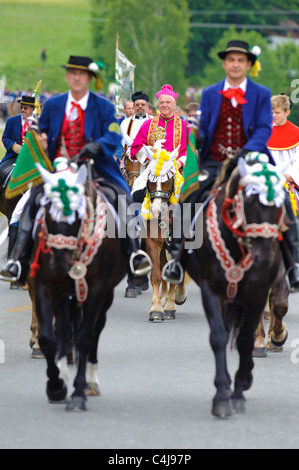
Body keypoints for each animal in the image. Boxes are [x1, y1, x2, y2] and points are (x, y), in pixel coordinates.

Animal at [30, 159, 127, 412]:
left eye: (77, 216)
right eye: (48, 214)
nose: (60, 265)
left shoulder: (98, 288)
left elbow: (85, 337)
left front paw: (78, 392)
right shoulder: (45, 285)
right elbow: (48, 338)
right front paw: (56, 386)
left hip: (105, 294)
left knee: (95, 328)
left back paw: (90, 381)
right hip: (65, 295)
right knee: (64, 329)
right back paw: (64, 372)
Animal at [135, 142, 189, 320]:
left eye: (168, 179)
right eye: (150, 180)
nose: (157, 209)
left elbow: (175, 273)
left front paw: (172, 305)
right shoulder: (152, 242)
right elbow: (157, 276)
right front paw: (157, 309)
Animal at [178, 152, 288, 416]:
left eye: (279, 204)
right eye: (247, 201)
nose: (264, 257)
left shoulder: (257, 293)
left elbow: (246, 338)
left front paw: (240, 387)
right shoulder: (211, 290)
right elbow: (219, 336)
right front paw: (222, 394)